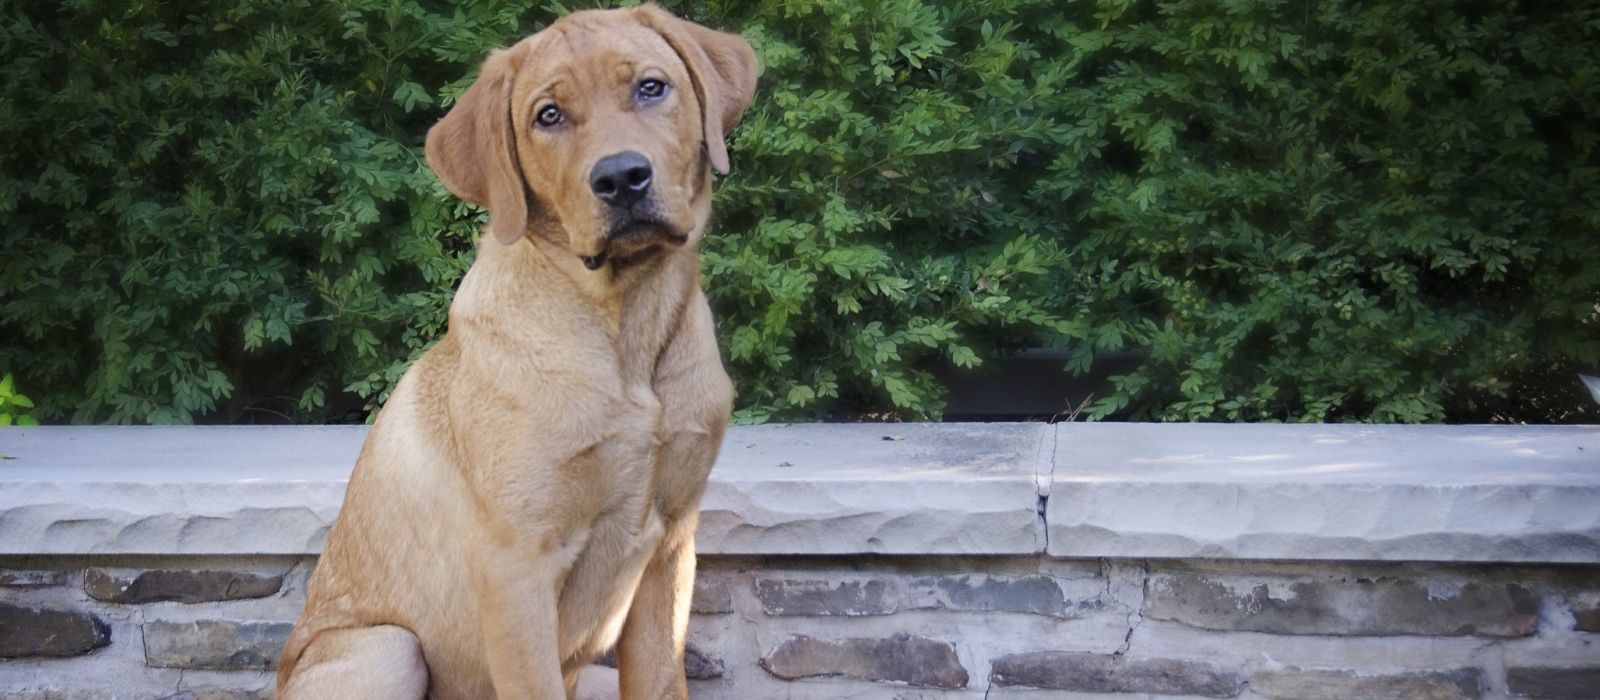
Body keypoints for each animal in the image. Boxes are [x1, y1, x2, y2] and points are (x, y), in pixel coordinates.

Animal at [273, 6, 755, 700]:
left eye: (651, 87)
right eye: (547, 116)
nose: (621, 178)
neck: (626, 329)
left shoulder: (672, 543)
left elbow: (662, 679)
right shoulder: (516, 565)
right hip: (389, 648)